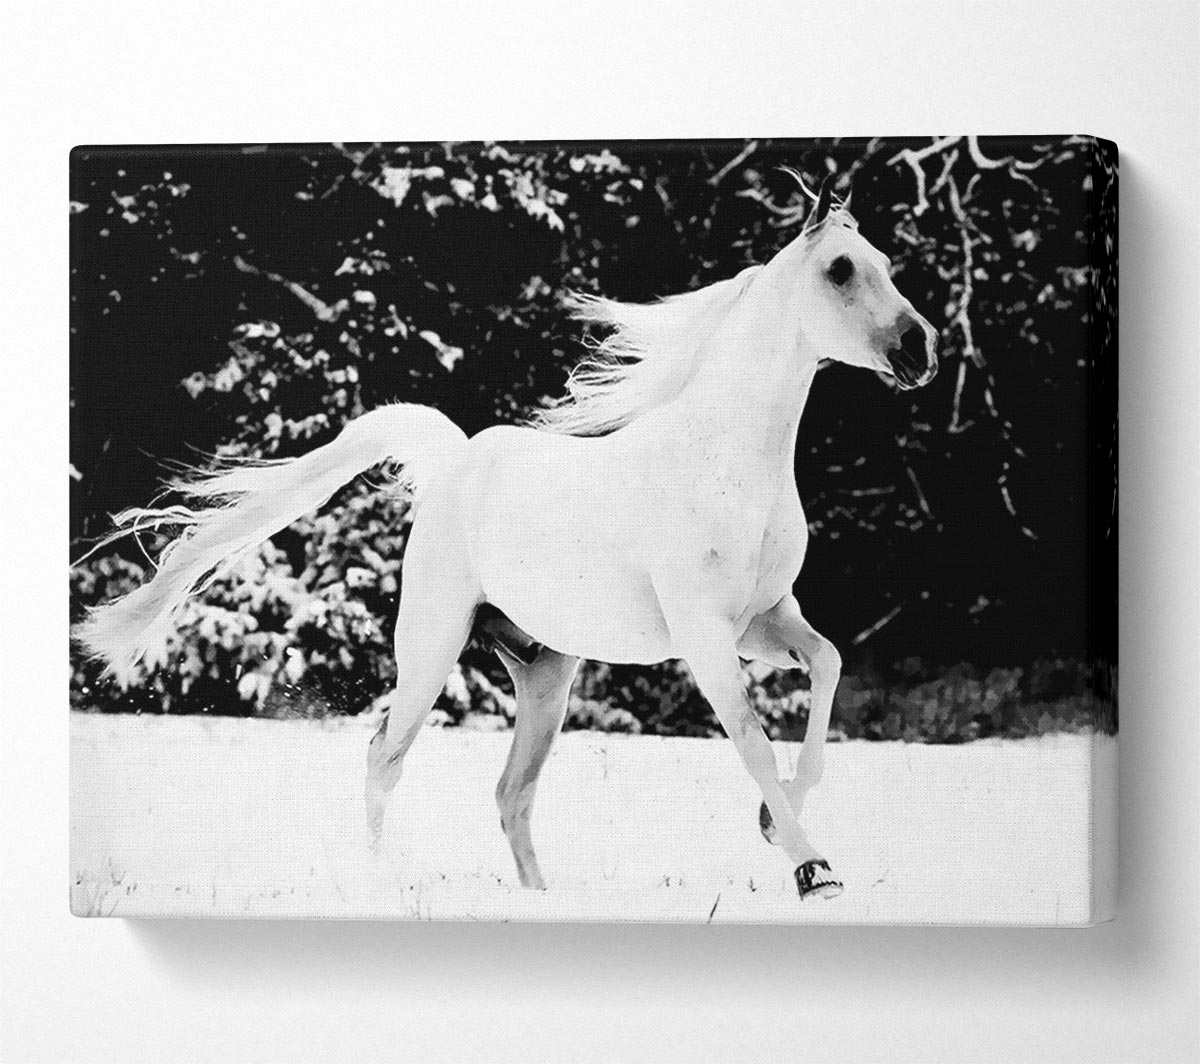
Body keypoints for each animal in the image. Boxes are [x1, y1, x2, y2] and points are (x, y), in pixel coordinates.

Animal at [77, 177, 938, 901]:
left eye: (886, 264)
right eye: (839, 270)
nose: (919, 348)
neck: (726, 461)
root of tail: (454, 462)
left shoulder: (764, 621)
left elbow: (828, 667)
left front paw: (772, 827)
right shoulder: (704, 635)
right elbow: (754, 741)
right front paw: (813, 870)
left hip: (546, 673)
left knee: (510, 793)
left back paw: (539, 898)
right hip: (431, 645)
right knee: (384, 757)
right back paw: (381, 882)